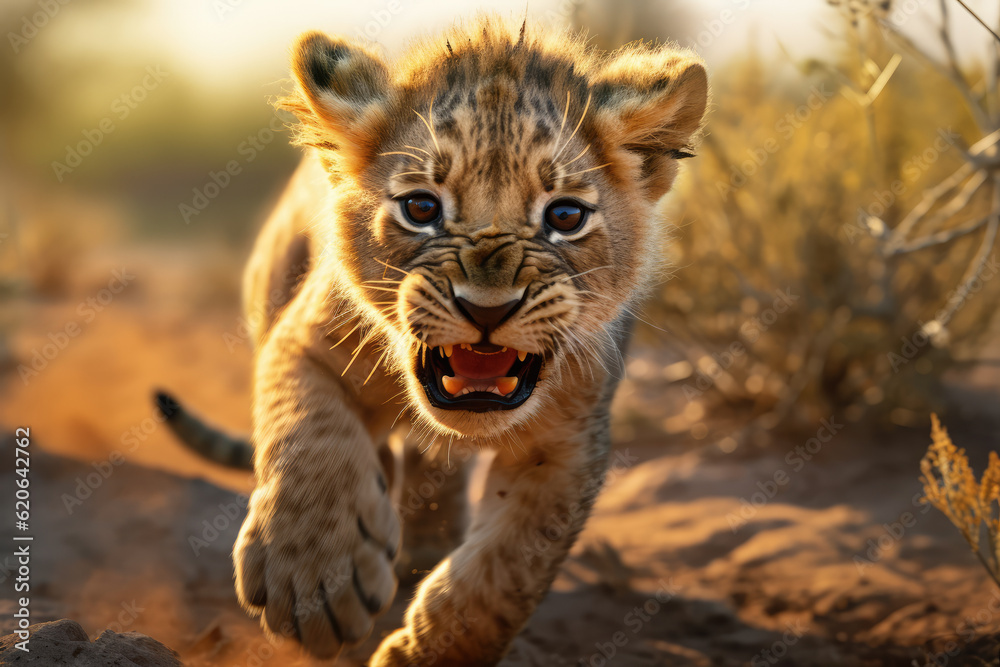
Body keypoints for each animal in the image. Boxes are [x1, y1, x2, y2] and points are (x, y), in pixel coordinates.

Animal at [156, 15, 707, 666]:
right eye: (421, 208)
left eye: (566, 216)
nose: (486, 308)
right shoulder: (302, 341)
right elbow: (306, 438)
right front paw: (315, 581)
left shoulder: (570, 442)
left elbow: (508, 570)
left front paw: (424, 649)